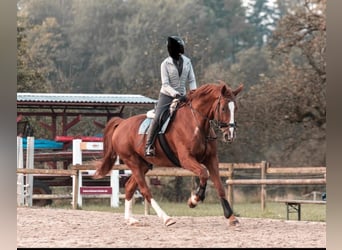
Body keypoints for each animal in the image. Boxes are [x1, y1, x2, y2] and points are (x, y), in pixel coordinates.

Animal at [93, 81, 243, 227]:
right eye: (223, 108)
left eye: (235, 108)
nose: (230, 135)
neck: (197, 124)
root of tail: (121, 123)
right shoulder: (186, 159)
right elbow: (203, 173)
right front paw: (193, 200)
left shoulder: (211, 159)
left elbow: (219, 186)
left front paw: (231, 217)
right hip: (133, 162)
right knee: (145, 191)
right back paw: (166, 218)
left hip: (143, 165)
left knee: (130, 186)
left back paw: (130, 220)